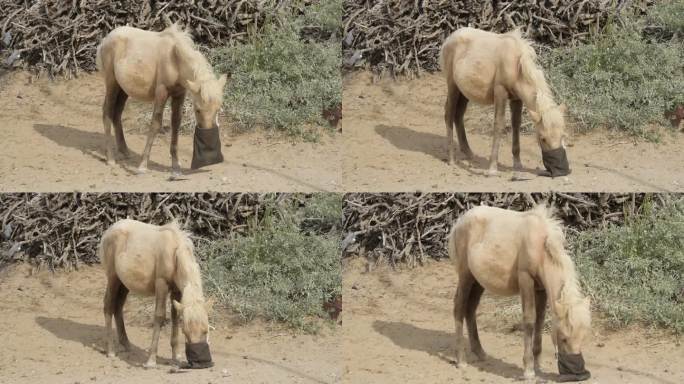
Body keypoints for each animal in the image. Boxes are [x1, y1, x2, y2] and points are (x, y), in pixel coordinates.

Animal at [96, 25, 227, 177]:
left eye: (218, 110)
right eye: (197, 110)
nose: (208, 153)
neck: (174, 59)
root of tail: (106, 39)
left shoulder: (179, 94)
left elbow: (175, 124)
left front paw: (176, 166)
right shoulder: (161, 92)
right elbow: (155, 124)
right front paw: (142, 166)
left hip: (123, 88)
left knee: (117, 114)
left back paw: (125, 151)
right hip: (112, 83)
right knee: (107, 112)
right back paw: (110, 158)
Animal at [99, 219, 211, 366]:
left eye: (205, 330)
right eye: (185, 331)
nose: (200, 363)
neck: (174, 253)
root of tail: (109, 230)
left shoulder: (176, 291)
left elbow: (175, 318)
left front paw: (176, 356)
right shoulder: (161, 285)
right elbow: (159, 316)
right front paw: (151, 360)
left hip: (124, 283)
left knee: (118, 307)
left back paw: (126, 344)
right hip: (113, 278)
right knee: (109, 306)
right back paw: (111, 350)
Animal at [438, 28, 572, 177]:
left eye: (563, 135)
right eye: (542, 138)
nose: (560, 171)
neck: (516, 65)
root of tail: (449, 38)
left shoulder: (516, 99)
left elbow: (516, 125)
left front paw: (518, 164)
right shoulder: (500, 92)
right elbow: (498, 125)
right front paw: (492, 168)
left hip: (464, 91)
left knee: (458, 116)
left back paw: (469, 153)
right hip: (453, 86)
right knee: (449, 114)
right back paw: (451, 159)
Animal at [448, 206, 588, 380]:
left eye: (583, 337)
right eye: (563, 339)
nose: (579, 374)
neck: (540, 246)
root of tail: (459, 222)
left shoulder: (541, 289)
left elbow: (540, 321)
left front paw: (538, 364)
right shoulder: (525, 279)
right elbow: (529, 320)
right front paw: (528, 370)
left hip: (478, 281)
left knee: (470, 309)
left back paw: (480, 352)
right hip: (466, 276)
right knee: (459, 308)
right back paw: (461, 360)